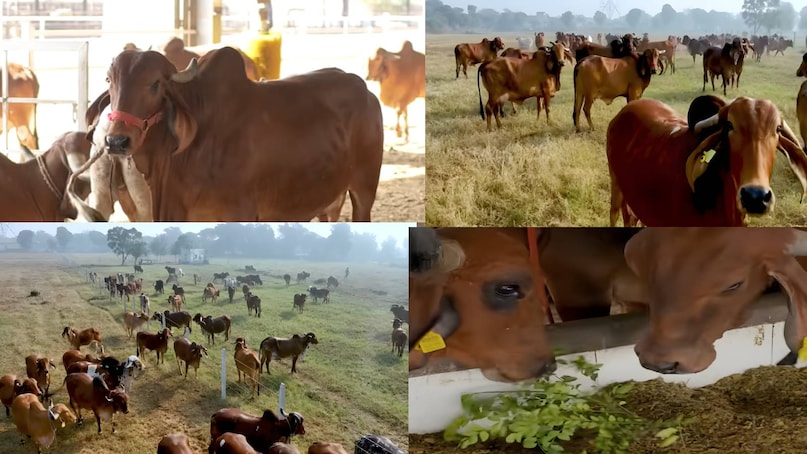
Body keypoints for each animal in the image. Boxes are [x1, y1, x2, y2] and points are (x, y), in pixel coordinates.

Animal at [70, 47, 383, 222]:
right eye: (110, 80)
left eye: (156, 83)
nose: (116, 141)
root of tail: (367, 93)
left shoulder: (241, 213)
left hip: (364, 190)